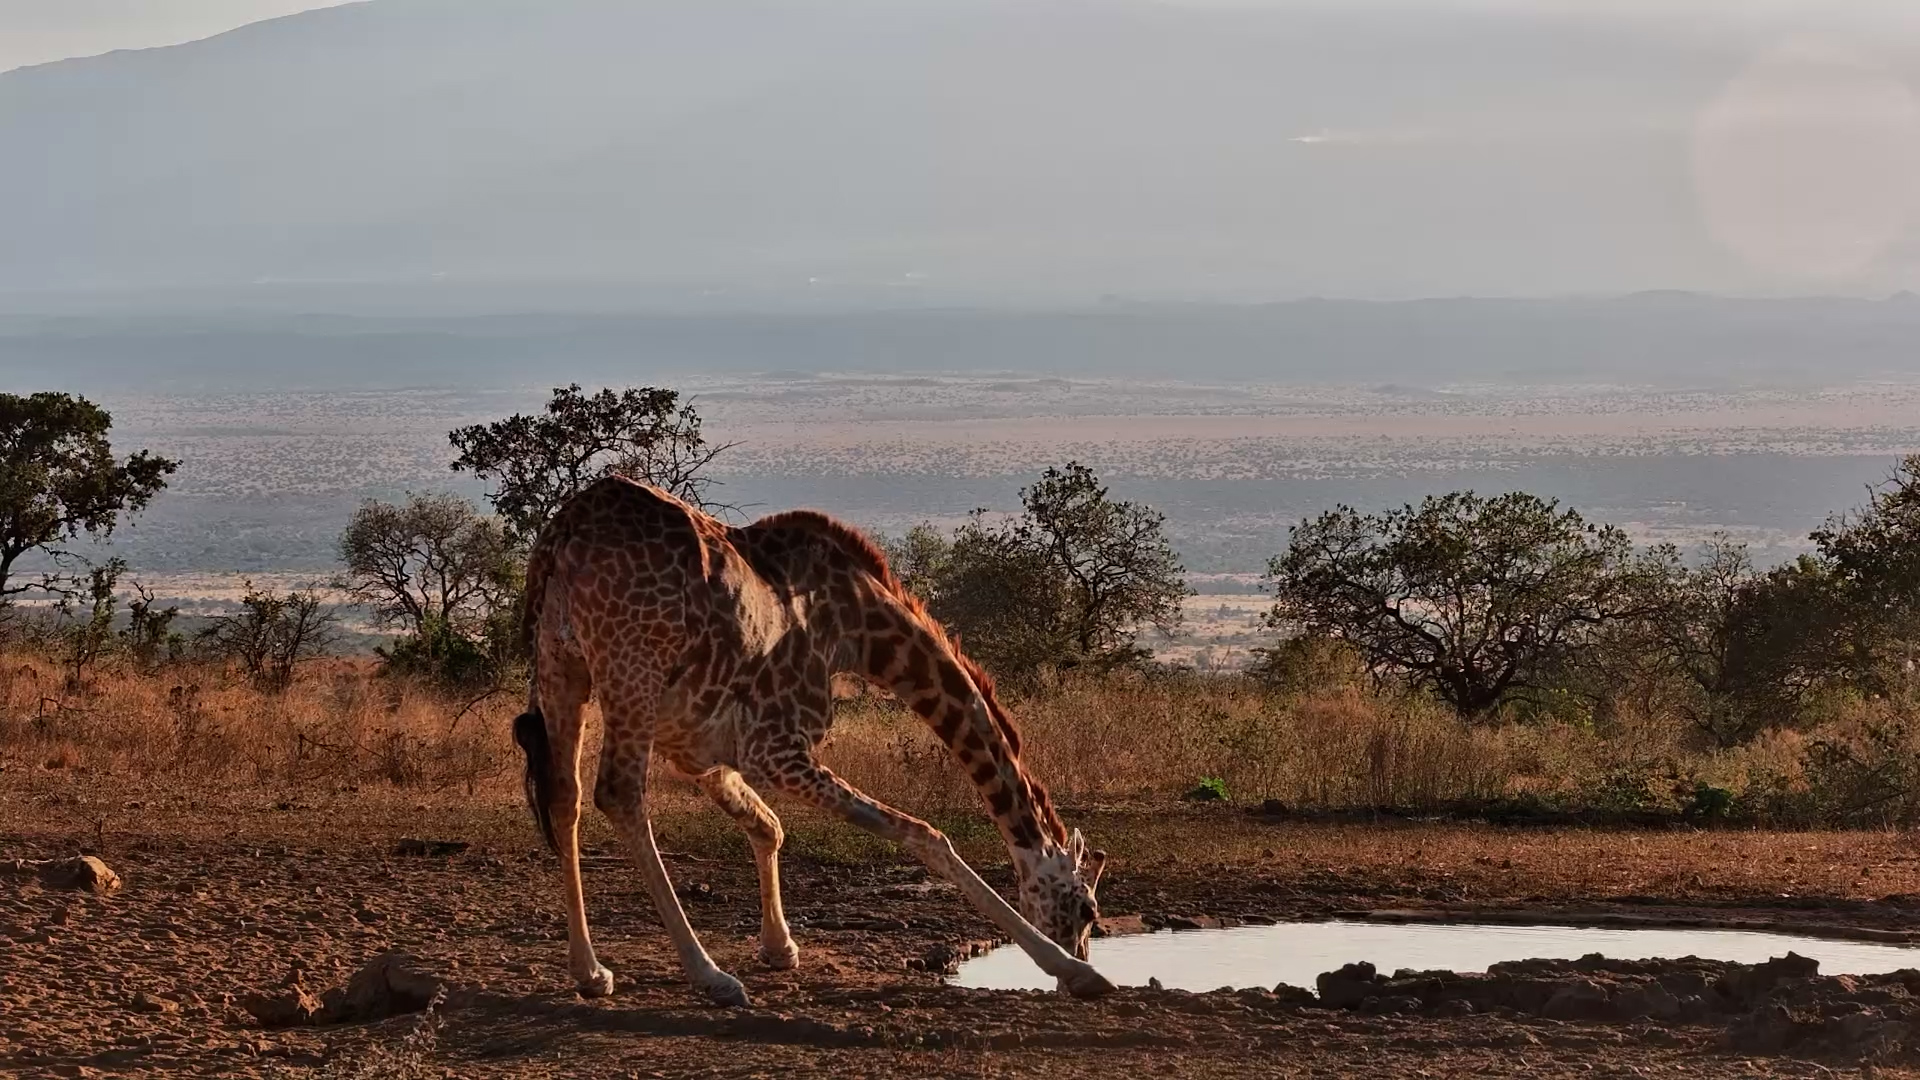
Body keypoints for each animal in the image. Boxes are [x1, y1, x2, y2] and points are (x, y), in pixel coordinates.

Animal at [510, 475, 1115, 1005]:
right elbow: (927, 836)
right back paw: (711, 976)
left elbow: (768, 827)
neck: (859, 631)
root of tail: (566, 529)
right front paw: (1074, 971)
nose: (1081, 953)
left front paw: (780, 947)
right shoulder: (775, 747)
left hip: (562, 665)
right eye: (1087, 909)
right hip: (631, 663)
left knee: (564, 797)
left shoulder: (700, 751)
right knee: (618, 793)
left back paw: (590, 971)